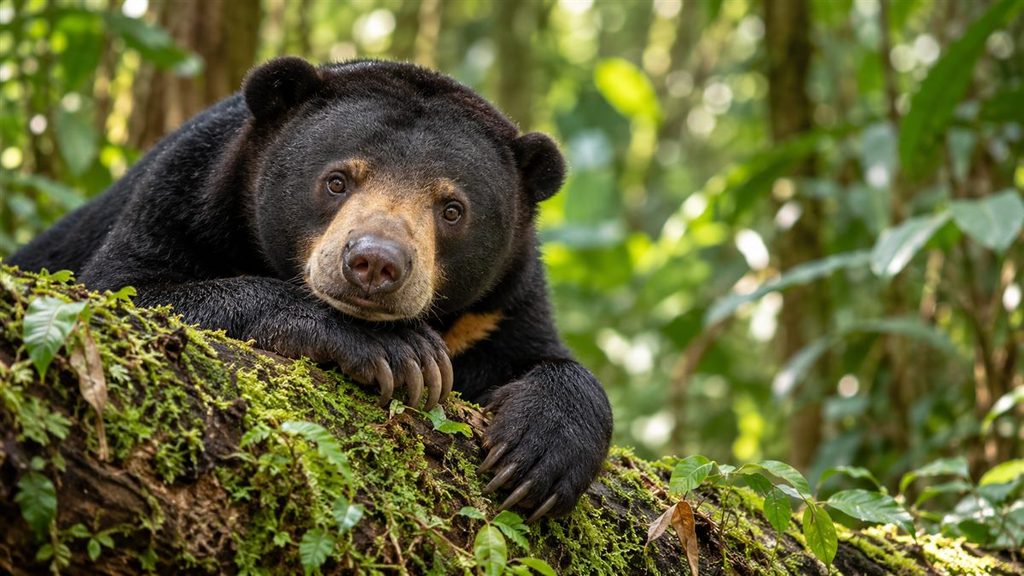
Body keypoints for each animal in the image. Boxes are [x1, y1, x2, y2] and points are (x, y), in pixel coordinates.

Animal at [10, 57, 613, 521]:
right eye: (337, 180)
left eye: (452, 209)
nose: (374, 263)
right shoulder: (186, 190)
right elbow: (125, 289)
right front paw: (399, 351)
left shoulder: (500, 305)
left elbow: (545, 359)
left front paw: (537, 458)